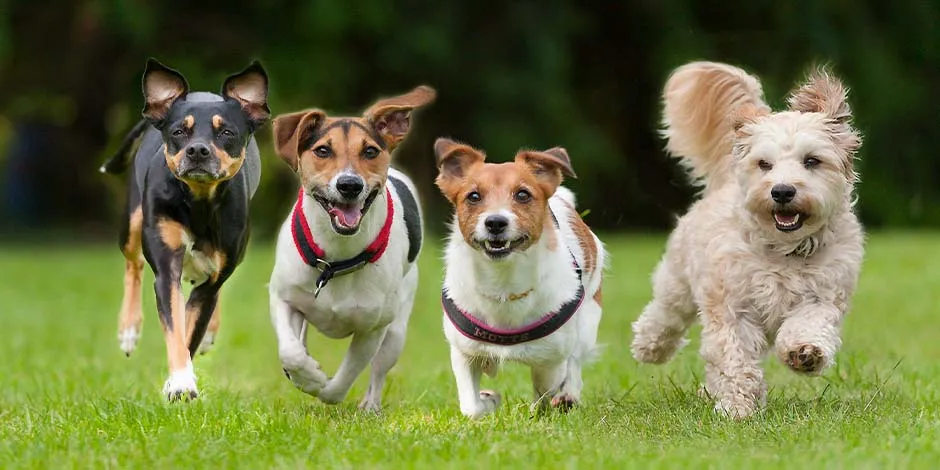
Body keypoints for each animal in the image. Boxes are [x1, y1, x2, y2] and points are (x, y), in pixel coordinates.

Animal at [101, 58, 270, 400]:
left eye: (226, 133)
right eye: (179, 131)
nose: (198, 150)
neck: (198, 203)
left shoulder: (212, 279)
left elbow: (192, 330)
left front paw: (178, 381)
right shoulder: (167, 269)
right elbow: (176, 329)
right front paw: (180, 381)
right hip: (132, 223)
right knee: (133, 264)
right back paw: (128, 329)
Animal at [270, 86, 436, 410]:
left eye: (370, 151)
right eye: (323, 150)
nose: (349, 184)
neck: (335, 260)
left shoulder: (373, 328)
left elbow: (342, 380)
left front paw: (321, 386)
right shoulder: (283, 297)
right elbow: (291, 352)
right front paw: (307, 374)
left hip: (396, 329)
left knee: (379, 370)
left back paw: (370, 406)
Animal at [432, 139, 604, 418]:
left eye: (523, 194)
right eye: (473, 196)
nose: (495, 222)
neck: (503, 282)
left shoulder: (550, 360)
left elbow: (546, 391)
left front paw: (542, 407)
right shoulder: (463, 353)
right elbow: (471, 407)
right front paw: (488, 400)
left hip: (588, 319)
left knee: (575, 362)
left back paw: (568, 395)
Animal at [632, 61, 868, 418]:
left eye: (812, 161)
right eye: (764, 164)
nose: (782, 190)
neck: (783, 252)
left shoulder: (824, 296)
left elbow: (809, 324)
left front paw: (805, 352)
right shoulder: (732, 306)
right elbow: (734, 357)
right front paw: (736, 407)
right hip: (678, 279)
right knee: (666, 312)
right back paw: (650, 346)